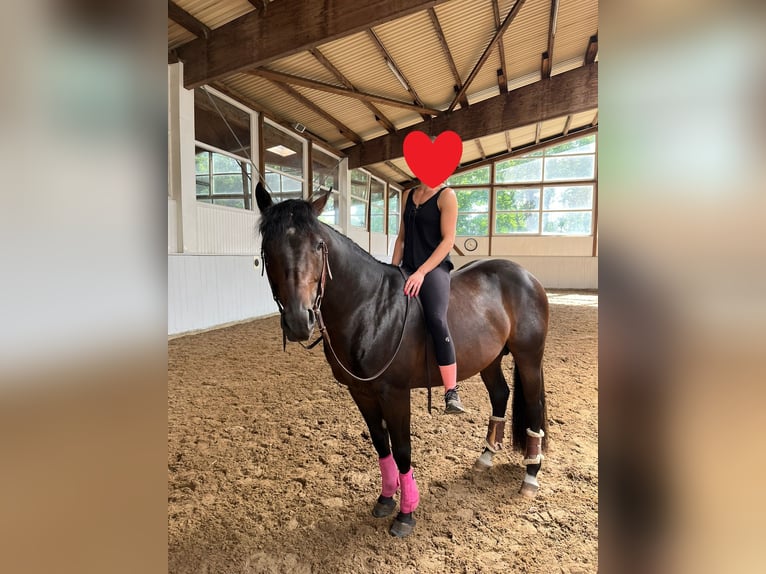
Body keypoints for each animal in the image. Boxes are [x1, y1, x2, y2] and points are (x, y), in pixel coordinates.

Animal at [255, 182, 549, 538]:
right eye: (268, 248)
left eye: (318, 245)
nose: (300, 321)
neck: (368, 307)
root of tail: (525, 275)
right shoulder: (361, 392)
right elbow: (381, 445)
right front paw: (385, 498)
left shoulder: (394, 393)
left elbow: (402, 449)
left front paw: (407, 513)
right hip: (489, 360)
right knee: (500, 395)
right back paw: (486, 456)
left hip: (529, 358)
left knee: (533, 406)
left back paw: (531, 474)